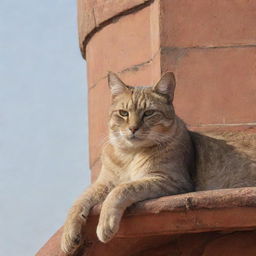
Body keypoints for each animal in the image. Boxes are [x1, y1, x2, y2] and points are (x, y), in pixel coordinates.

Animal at [61, 71, 256, 254]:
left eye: (148, 113)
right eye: (123, 113)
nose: (133, 128)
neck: (130, 155)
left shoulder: (170, 180)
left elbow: (123, 189)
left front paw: (105, 225)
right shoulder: (104, 182)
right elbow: (79, 200)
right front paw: (68, 237)